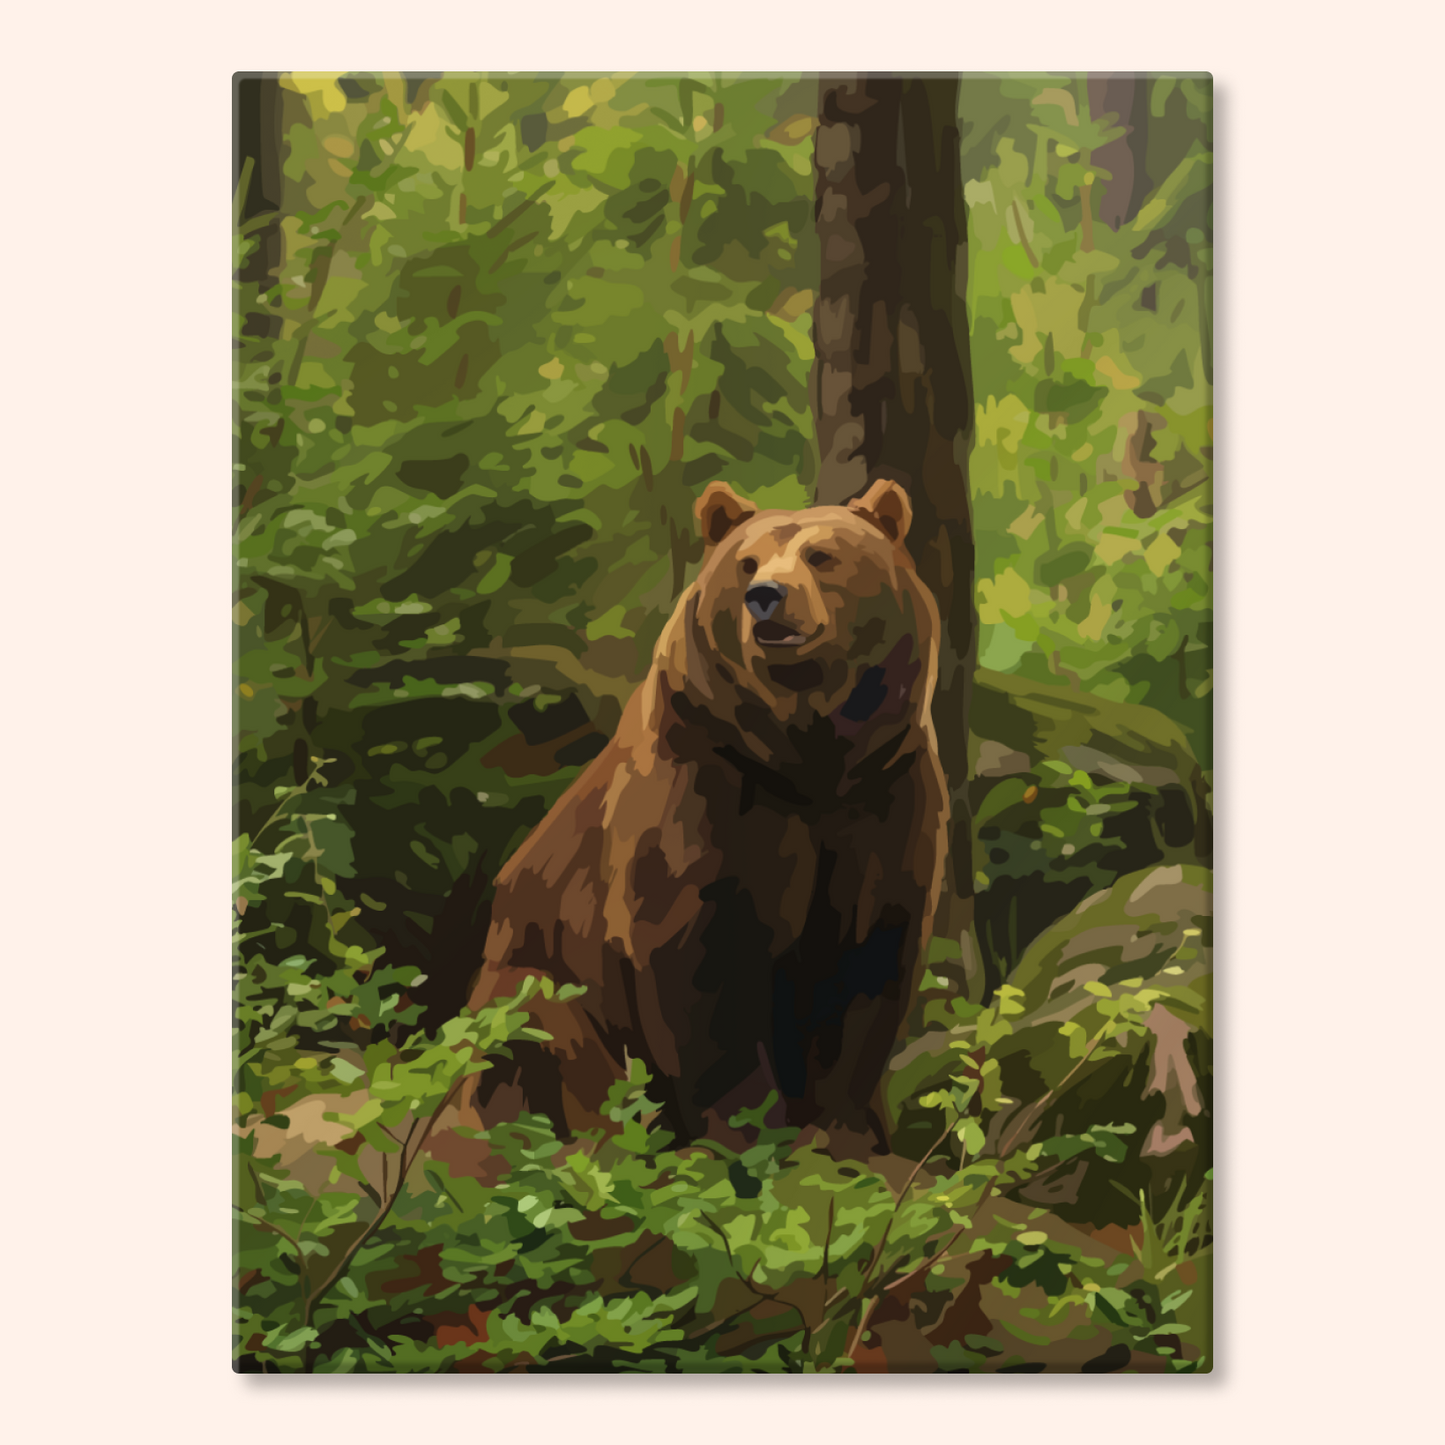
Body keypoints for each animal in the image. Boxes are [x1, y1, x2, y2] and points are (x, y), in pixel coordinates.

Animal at [459, 477, 948, 1161]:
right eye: (746, 563)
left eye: (822, 555)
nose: (766, 597)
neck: (808, 761)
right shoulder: (707, 782)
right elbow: (699, 966)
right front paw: (749, 1130)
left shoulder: (885, 793)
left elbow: (870, 957)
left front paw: (846, 1129)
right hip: (535, 983)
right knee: (535, 1023)